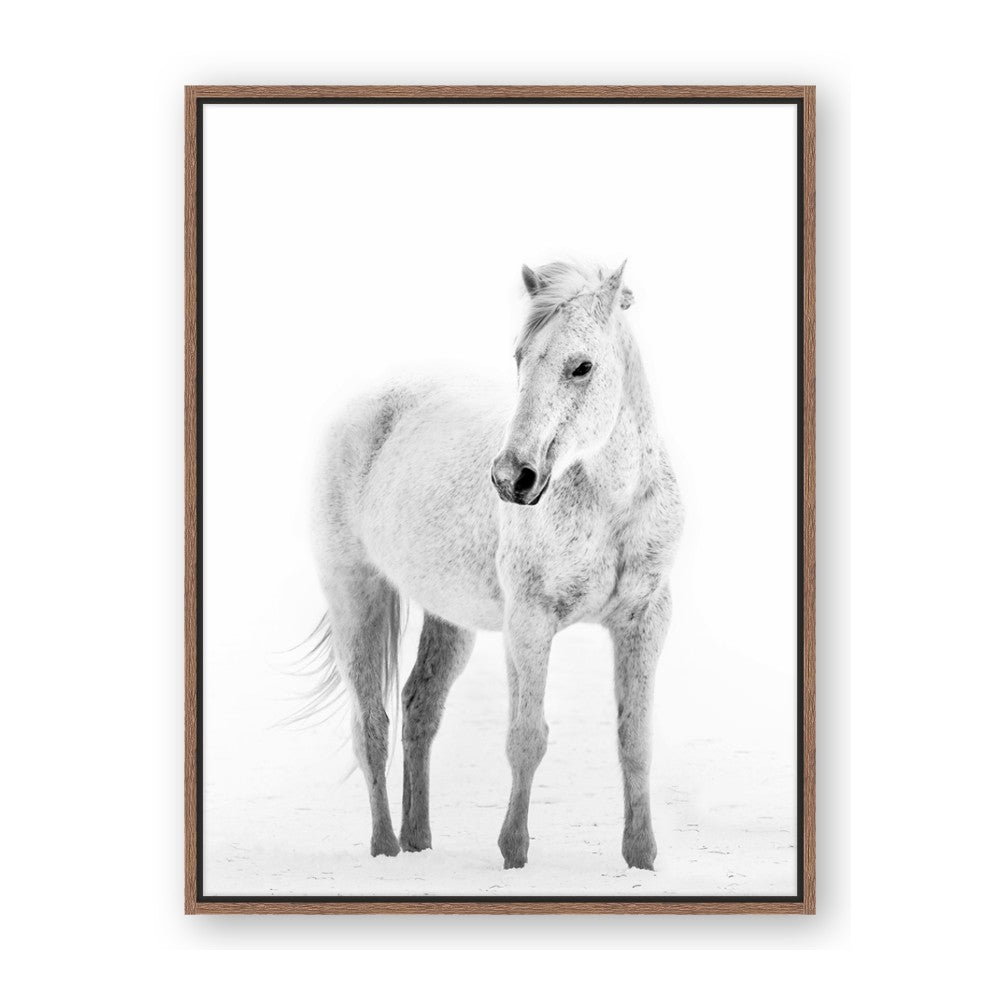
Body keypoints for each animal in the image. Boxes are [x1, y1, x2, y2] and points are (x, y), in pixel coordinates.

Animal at [308, 260, 683, 870]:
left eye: (582, 366)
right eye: (520, 358)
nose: (512, 479)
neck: (612, 504)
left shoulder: (646, 620)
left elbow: (635, 741)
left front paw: (641, 859)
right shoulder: (529, 623)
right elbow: (526, 738)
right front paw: (514, 854)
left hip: (448, 619)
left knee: (419, 708)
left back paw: (418, 841)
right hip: (354, 595)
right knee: (372, 725)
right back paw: (386, 848)